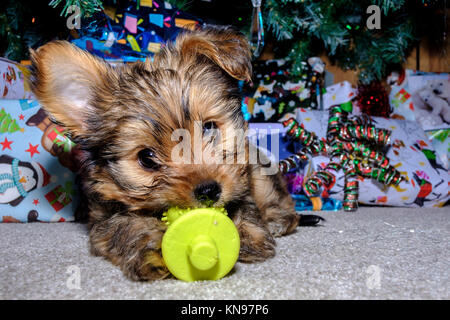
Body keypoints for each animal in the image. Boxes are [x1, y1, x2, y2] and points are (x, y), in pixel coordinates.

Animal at [29, 26, 298, 280]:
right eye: (146, 158)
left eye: (210, 127)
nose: (209, 190)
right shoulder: (103, 218)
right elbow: (125, 226)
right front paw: (152, 248)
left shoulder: (242, 179)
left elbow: (245, 204)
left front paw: (248, 234)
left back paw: (278, 219)